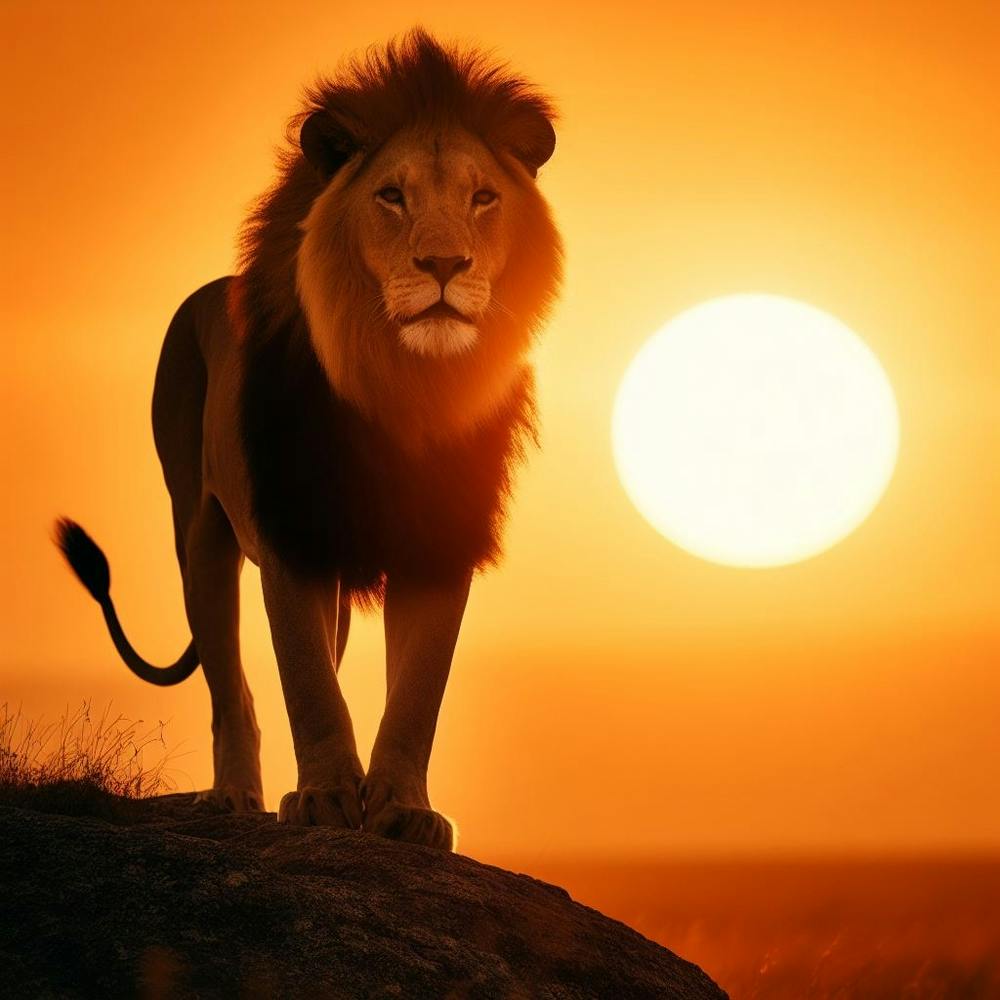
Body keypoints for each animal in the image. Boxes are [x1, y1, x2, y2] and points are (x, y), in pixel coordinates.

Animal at [55, 30, 562, 850]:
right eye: (392, 196)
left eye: (483, 197)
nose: (444, 265)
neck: (404, 385)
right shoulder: (291, 534)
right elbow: (306, 681)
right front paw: (325, 798)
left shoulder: (438, 542)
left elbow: (417, 691)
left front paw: (403, 810)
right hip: (200, 535)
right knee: (230, 686)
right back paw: (233, 797)